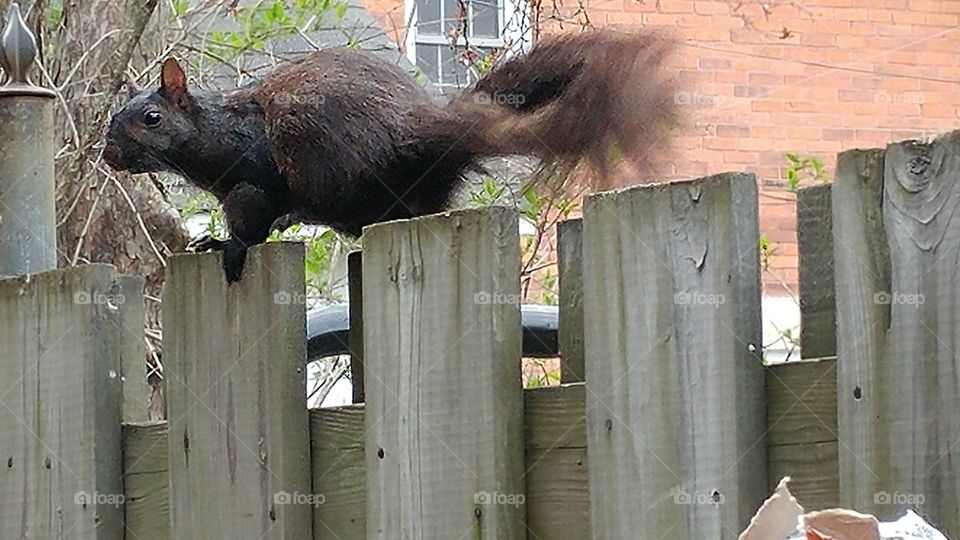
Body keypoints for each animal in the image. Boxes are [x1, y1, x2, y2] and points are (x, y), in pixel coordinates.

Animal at [103, 28, 676, 282]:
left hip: (325, 161)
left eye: (151, 118)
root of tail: (422, 136)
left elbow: (252, 220)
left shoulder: (252, 180)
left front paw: (230, 244)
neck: (216, 134)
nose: (108, 154)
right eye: (112, 119)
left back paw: (299, 213)